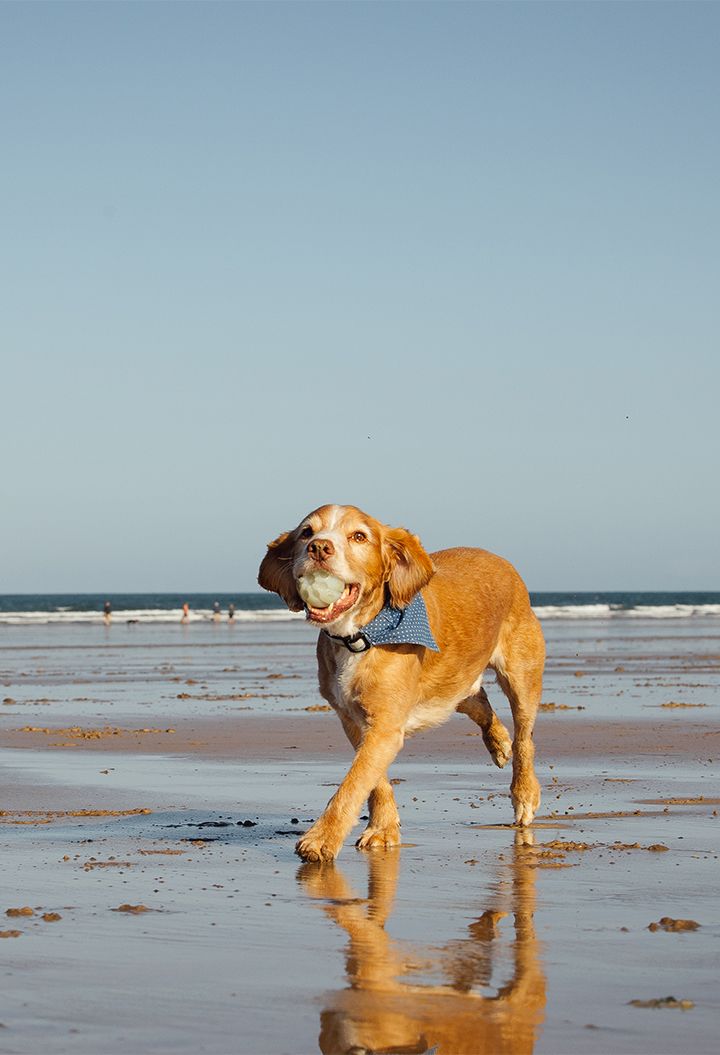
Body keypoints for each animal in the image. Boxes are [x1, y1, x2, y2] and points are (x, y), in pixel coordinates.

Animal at [257, 506, 544, 860]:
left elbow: (353, 784)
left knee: (525, 739)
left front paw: (321, 838)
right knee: (475, 699)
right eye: (306, 533)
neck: (359, 636)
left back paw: (524, 793)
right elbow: (374, 780)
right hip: (451, 680)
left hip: (522, 674)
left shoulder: (384, 726)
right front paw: (383, 828)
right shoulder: (356, 721)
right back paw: (498, 741)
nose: (319, 548)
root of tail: (500, 560)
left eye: (359, 536)